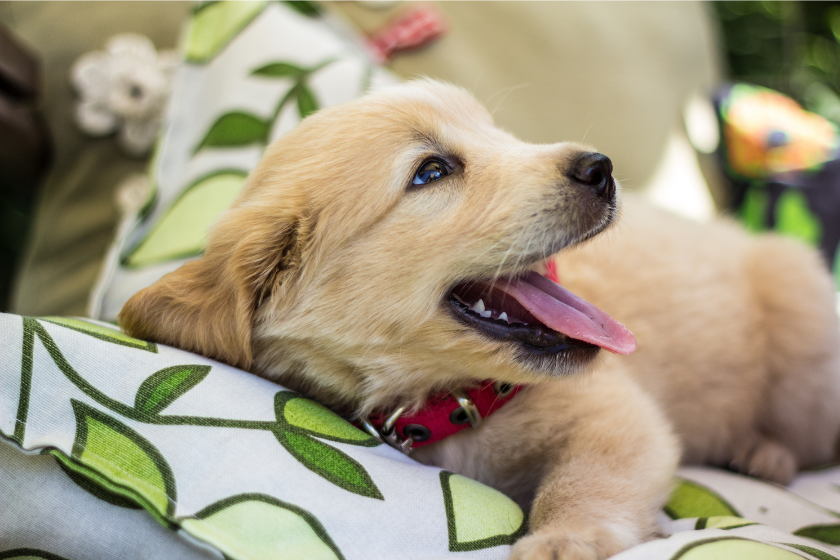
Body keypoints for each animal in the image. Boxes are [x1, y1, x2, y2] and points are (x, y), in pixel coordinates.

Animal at [118, 80, 840, 560]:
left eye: (499, 135)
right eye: (431, 171)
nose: (601, 168)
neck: (454, 400)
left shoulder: (618, 416)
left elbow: (586, 478)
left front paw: (566, 538)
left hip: (804, 355)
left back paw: (764, 452)